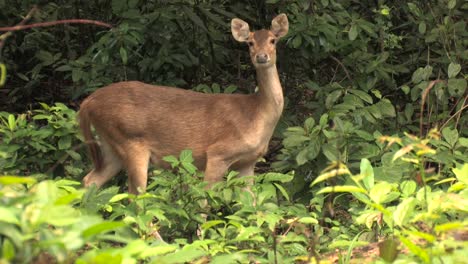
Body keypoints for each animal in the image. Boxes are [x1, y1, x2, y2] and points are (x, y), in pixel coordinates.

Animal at [78, 12, 288, 194]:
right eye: (250, 42)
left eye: (273, 40)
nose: (261, 56)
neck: (256, 113)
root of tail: (88, 102)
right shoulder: (218, 153)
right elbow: (204, 200)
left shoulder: (247, 162)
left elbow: (251, 206)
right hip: (129, 140)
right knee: (135, 197)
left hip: (110, 145)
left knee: (90, 180)